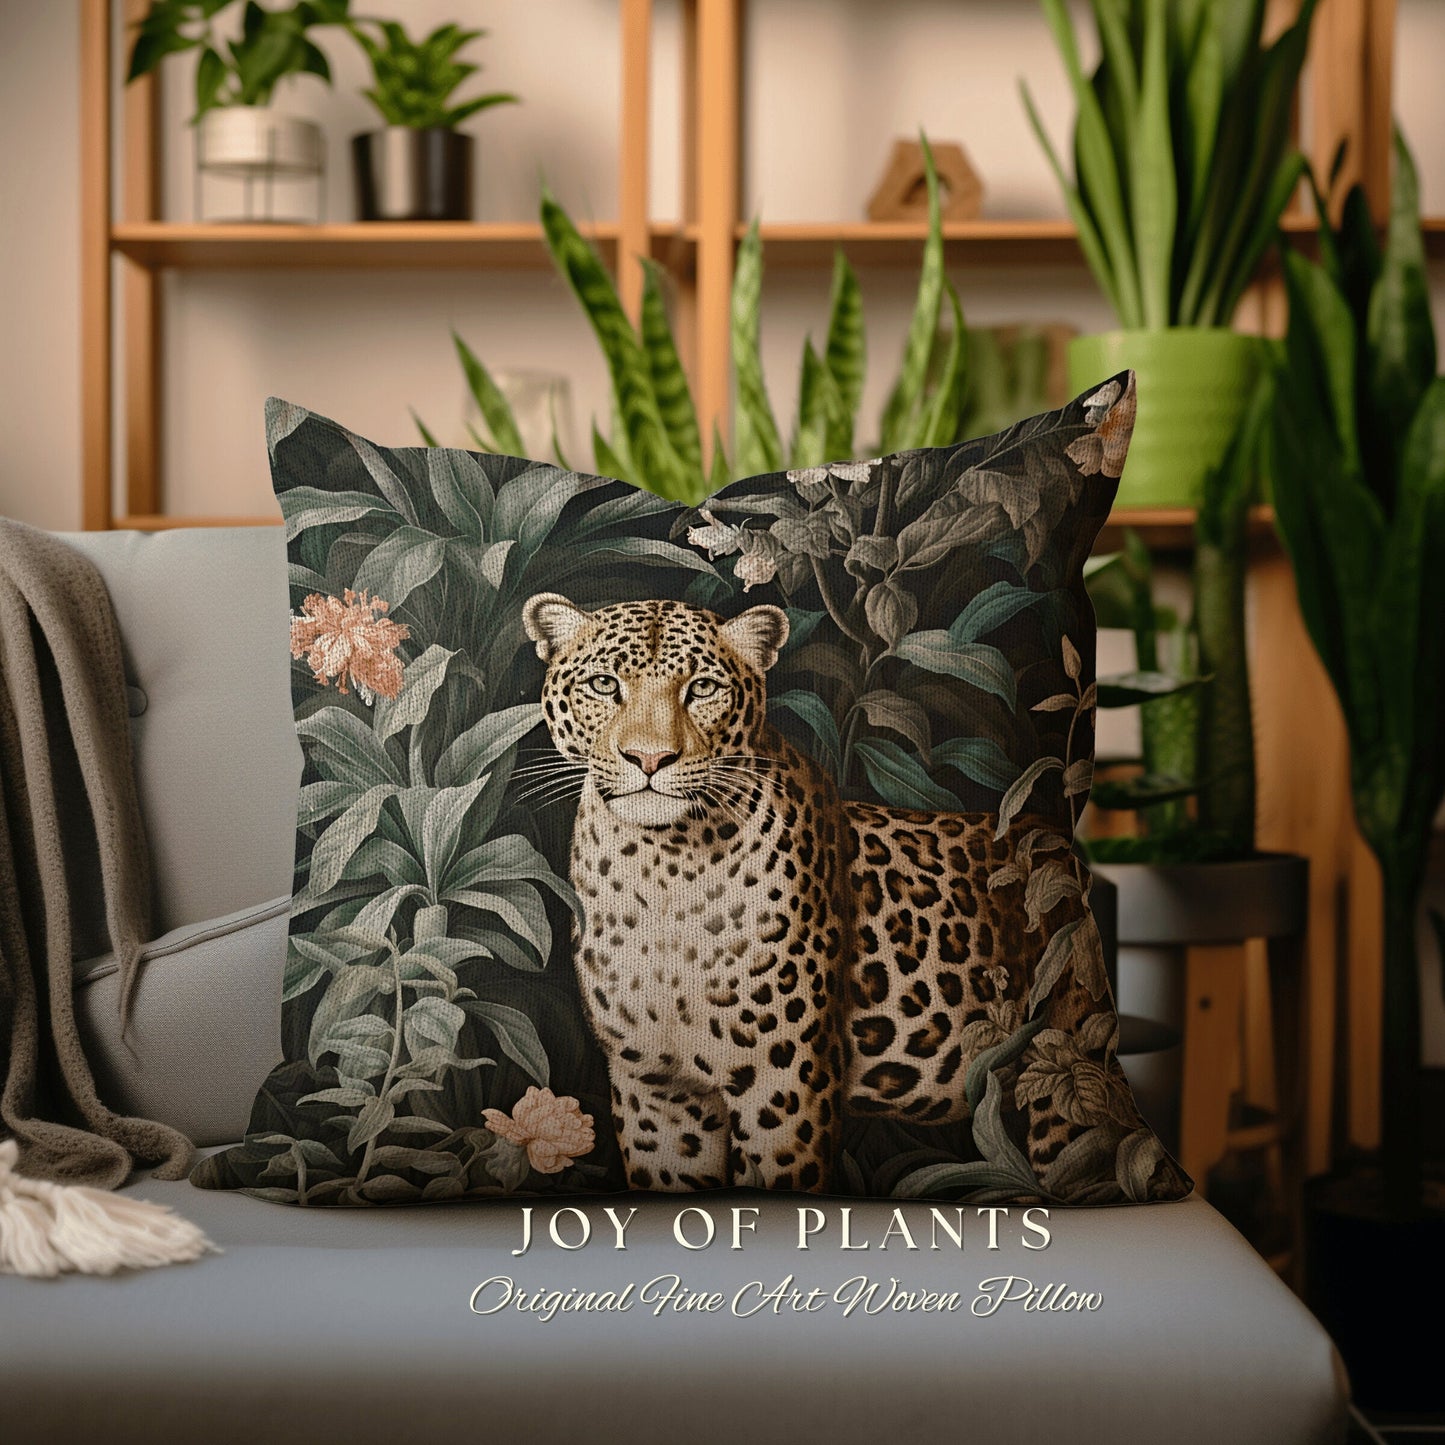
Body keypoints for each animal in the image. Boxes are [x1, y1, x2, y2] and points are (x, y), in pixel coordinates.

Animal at [521, 591, 1105, 1195]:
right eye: (604, 684)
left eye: (702, 688)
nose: (650, 758)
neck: (661, 872)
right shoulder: (655, 1088)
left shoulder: (784, 1079)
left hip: (1064, 1070)